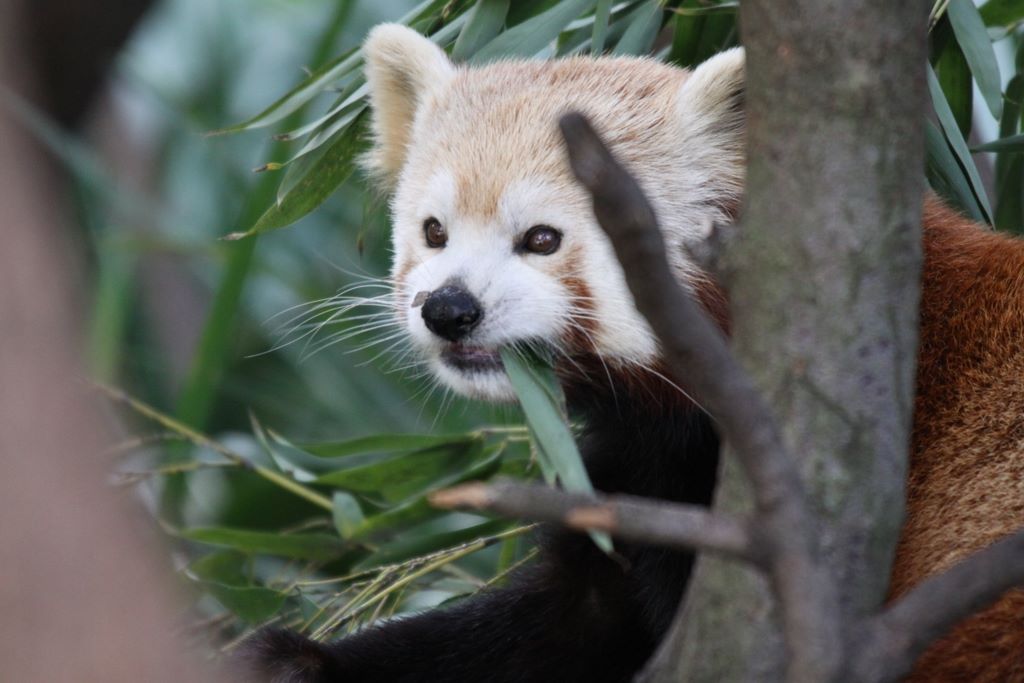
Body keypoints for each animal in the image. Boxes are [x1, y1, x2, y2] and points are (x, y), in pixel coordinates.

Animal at [244, 23, 1024, 682]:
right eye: (434, 231)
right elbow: (559, 623)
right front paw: (293, 660)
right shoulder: (636, 480)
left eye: (542, 238)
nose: (448, 310)